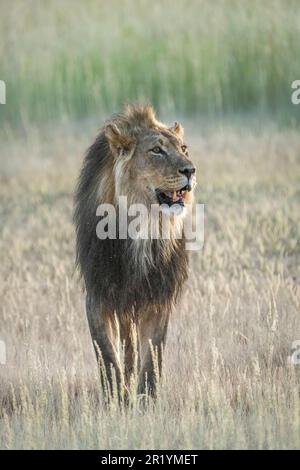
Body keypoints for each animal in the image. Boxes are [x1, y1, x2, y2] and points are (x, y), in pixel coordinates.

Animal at [74, 103, 197, 400]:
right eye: (157, 150)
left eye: (184, 148)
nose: (190, 170)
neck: (142, 224)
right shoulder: (98, 296)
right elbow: (106, 355)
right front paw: (115, 399)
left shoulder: (157, 296)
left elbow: (152, 356)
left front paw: (146, 400)